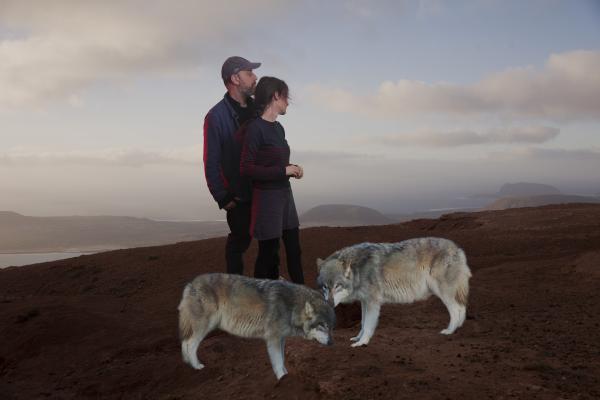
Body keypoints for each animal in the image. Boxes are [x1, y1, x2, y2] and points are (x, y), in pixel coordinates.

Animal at [178, 274, 338, 380]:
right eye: (322, 326)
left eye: (331, 327)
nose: (331, 343)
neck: (292, 307)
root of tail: (190, 284)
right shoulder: (273, 339)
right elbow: (278, 363)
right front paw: (282, 380)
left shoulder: (281, 339)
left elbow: (282, 361)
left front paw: (286, 377)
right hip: (204, 327)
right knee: (190, 344)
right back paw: (197, 366)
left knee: (184, 342)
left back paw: (187, 364)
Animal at [316, 238, 472, 346]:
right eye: (325, 287)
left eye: (338, 286)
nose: (329, 303)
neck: (358, 270)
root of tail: (458, 249)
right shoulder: (365, 302)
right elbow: (362, 323)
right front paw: (358, 338)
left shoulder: (373, 302)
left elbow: (368, 325)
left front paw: (362, 343)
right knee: (462, 308)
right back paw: (457, 329)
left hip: (443, 293)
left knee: (456, 310)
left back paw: (449, 331)